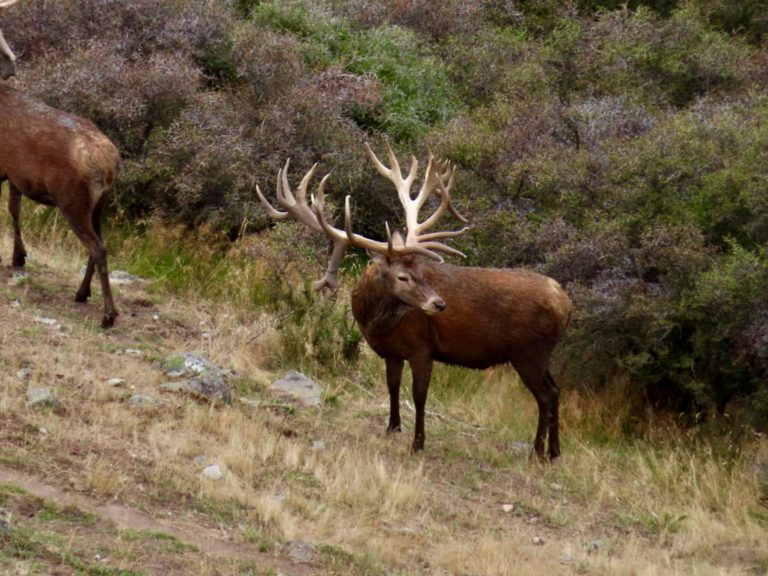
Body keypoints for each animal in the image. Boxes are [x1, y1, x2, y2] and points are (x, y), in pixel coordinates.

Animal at [0, 0, 120, 327]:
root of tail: (109, 166)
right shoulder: (15, 175)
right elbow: (14, 210)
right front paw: (18, 257)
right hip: (99, 204)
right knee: (100, 242)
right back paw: (82, 293)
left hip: (72, 200)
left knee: (98, 247)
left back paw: (108, 314)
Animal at [257, 142, 572, 460]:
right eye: (404, 276)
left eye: (421, 271)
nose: (439, 304)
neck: (375, 322)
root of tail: (565, 303)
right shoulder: (392, 351)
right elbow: (393, 386)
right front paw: (392, 427)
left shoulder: (423, 347)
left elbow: (420, 395)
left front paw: (417, 442)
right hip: (539, 353)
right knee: (556, 390)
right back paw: (554, 451)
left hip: (528, 351)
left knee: (545, 396)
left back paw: (537, 451)